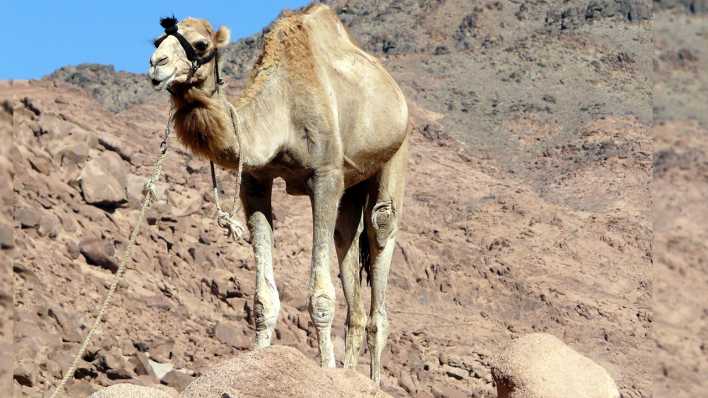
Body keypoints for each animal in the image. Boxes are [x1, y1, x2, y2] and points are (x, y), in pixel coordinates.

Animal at [146, 3, 406, 382]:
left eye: (200, 44)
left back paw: (370, 380)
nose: (156, 64)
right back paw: (349, 372)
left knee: (380, 228)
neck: (280, 113)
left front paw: (325, 369)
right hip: (352, 183)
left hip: (397, 151)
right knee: (346, 240)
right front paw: (257, 361)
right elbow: (262, 300)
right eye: (157, 40)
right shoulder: (255, 180)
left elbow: (320, 296)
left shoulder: (325, 175)